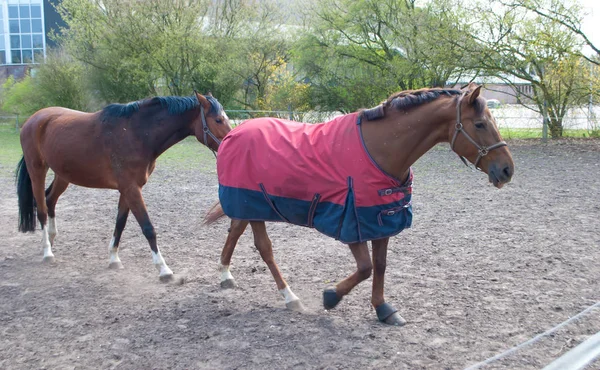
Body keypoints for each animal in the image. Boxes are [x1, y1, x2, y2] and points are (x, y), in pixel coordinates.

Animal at [15, 92, 232, 280]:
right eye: (218, 120)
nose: (229, 141)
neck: (136, 133)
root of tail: (33, 119)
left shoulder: (129, 189)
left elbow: (120, 223)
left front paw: (113, 259)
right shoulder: (130, 188)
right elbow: (148, 227)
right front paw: (163, 269)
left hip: (63, 175)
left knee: (50, 199)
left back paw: (51, 240)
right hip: (37, 171)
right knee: (42, 209)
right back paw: (47, 252)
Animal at [204, 85, 512, 326]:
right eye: (480, 124)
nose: (507, 170)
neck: (379, 149)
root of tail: (232, 134)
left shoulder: (382, 219)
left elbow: (380, 265)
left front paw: (383, 309)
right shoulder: (351, 222)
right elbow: (365, 268)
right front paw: (331, 296)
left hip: (250, 207)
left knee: (235, 230)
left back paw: (226, 276)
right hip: (252, 203)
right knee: (264, 248)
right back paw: (290, 297)